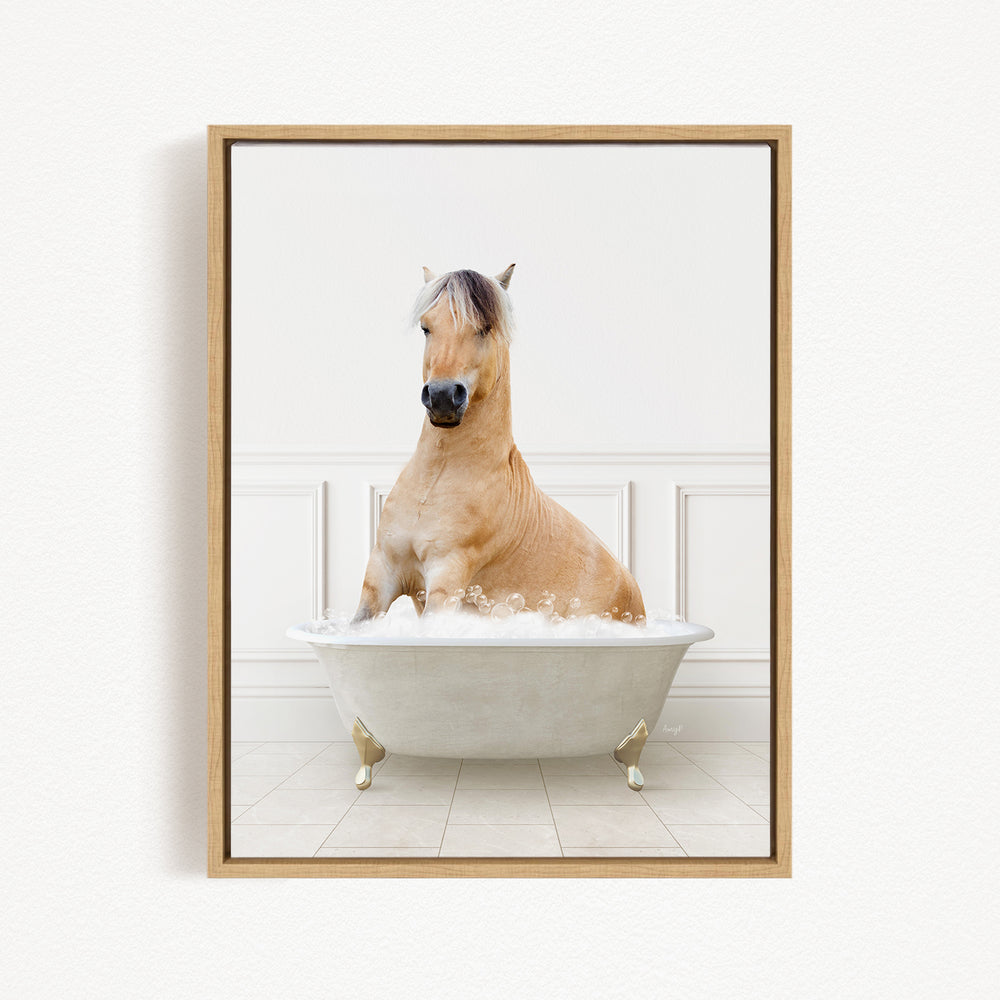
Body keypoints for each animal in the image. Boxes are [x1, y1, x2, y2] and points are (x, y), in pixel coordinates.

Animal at [353, 265, 645, 623]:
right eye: (426, 327)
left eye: (485, 327)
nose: (442, 397)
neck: (435, 480)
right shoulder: (382, 572)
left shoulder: (446, 578)